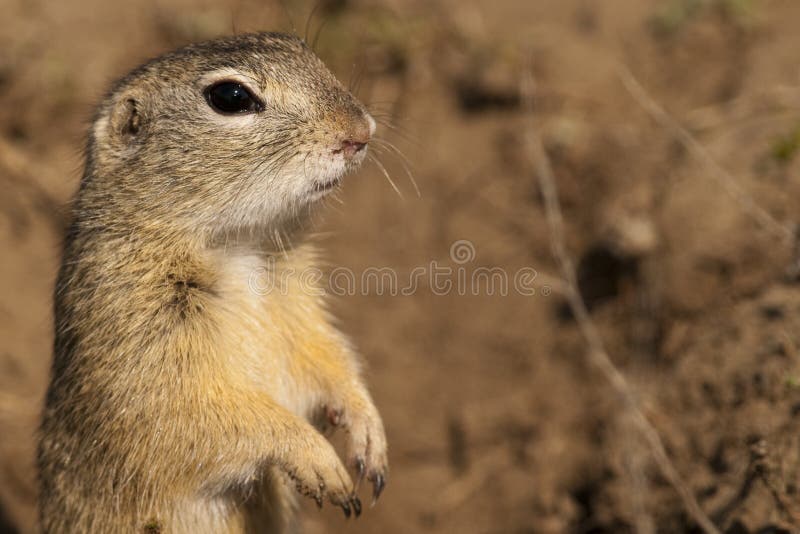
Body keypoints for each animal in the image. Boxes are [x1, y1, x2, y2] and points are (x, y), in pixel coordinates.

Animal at [37, 33, 388, 534]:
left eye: (299, 46)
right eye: (230, 97)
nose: (362, 131)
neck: (240, 247)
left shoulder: (300, 312)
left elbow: (328, 360)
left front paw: (368, 432)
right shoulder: (139, 338)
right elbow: (206, 420)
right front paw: (318, 461)